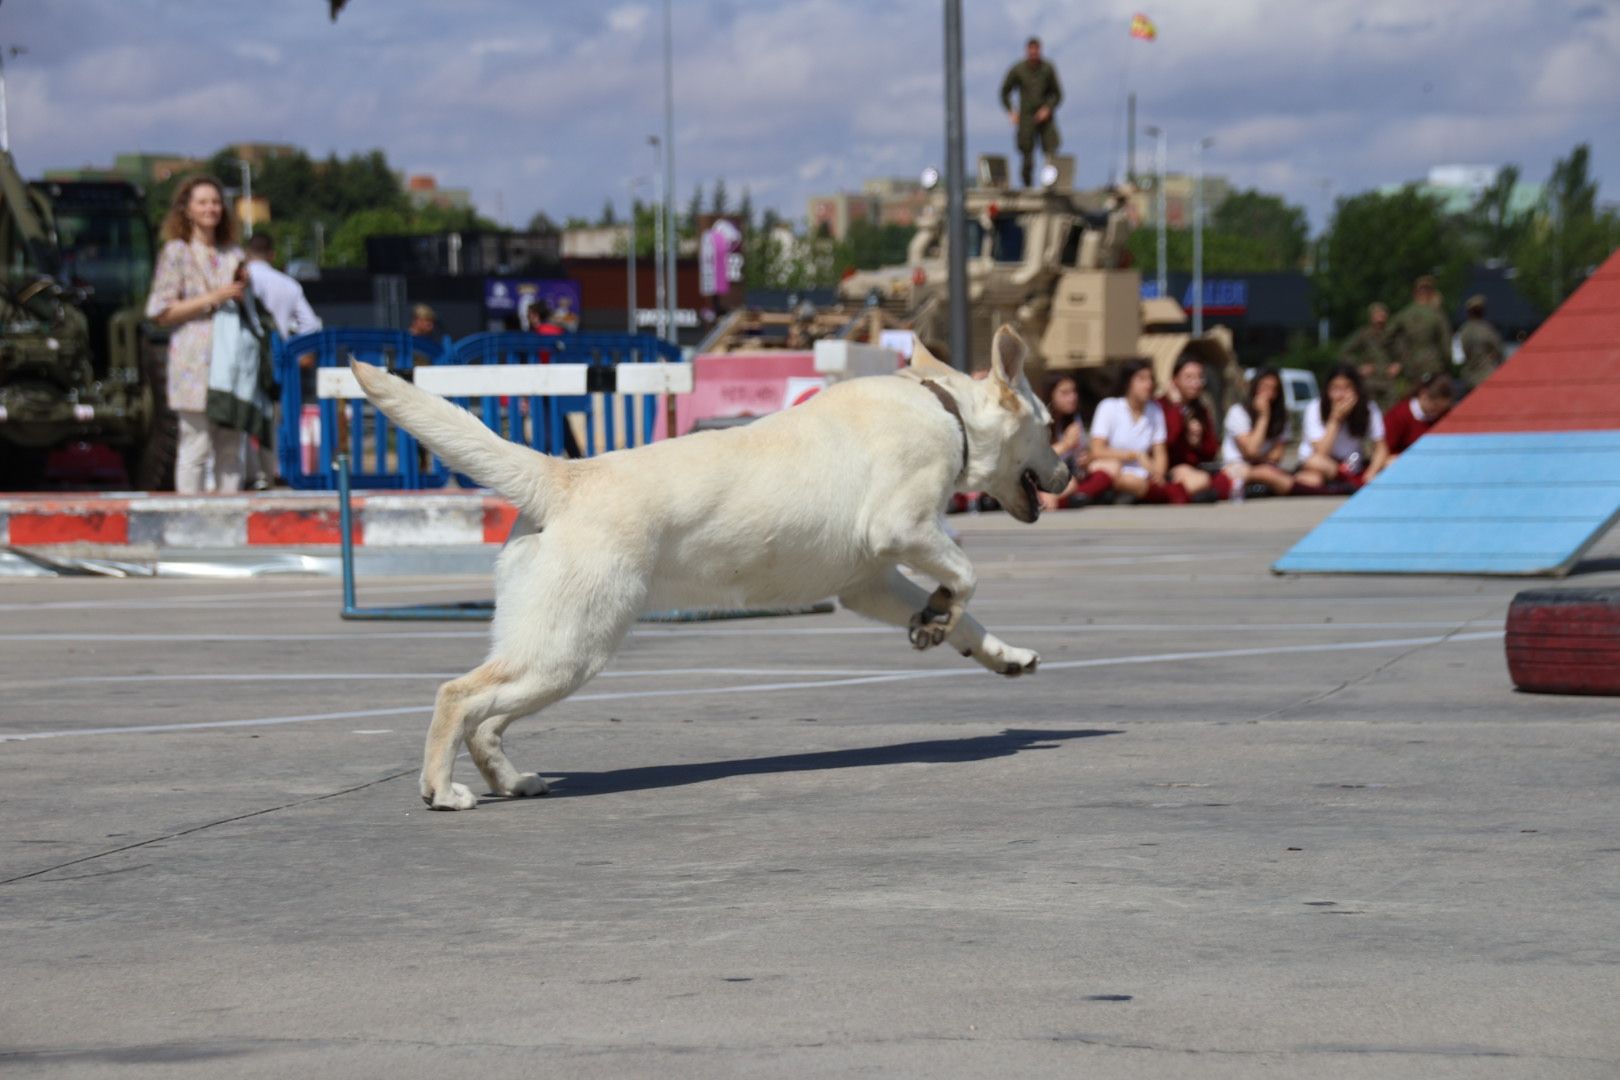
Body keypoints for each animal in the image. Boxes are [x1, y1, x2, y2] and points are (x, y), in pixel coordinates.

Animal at [348, 327, 1069, 809]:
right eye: (1051, 423)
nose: (1067, 472)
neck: (948, 412)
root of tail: (564, 476)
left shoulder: (869, 583)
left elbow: (965, 614)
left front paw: (993, 650)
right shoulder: (902, 527)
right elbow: (967, 576)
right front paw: (941, 614)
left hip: (549, 652)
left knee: (489, 718)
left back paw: (512, 780)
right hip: (570, 649)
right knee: (458, 697)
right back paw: (442, 789)